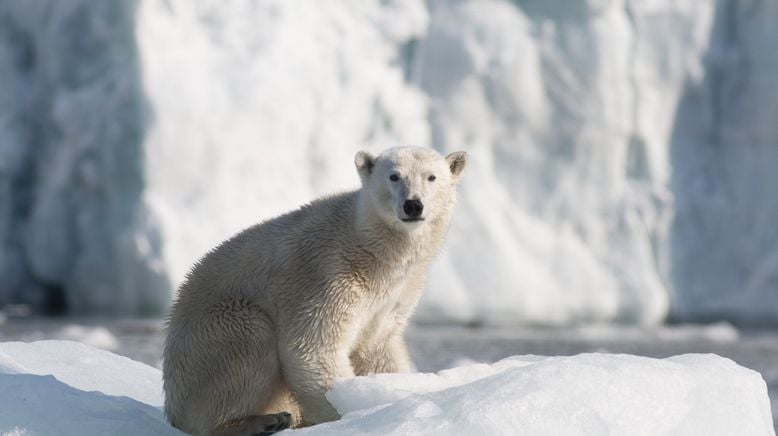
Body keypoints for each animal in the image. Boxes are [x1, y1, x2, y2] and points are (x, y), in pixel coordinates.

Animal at [163, 147, 464, 436]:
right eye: (394, 176)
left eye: (431, 177)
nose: (413, 204)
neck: (371, 251)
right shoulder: (327, 275)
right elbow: (312, 348)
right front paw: (351, 414)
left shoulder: (394, 295)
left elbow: (377, 349)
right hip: (213, 335)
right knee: (249, 344)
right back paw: (262, 421)